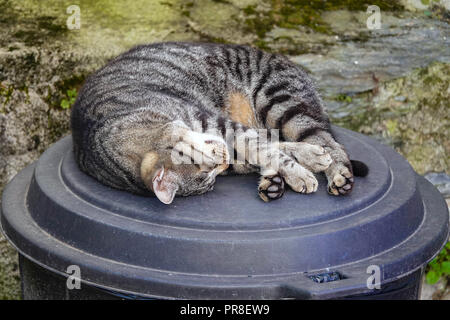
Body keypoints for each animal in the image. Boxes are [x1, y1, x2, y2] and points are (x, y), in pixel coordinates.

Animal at [69, 41, 366, 204]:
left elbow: (269, 149)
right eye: (209, 176)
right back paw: (276, 179)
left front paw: (301, 171)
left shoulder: (222, 127)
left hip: (282, 103)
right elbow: (270, 150)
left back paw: (337, 173)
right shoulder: (231, 139)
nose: (223, 158)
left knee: (330, 142)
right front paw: (294, 169)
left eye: (210, 164)